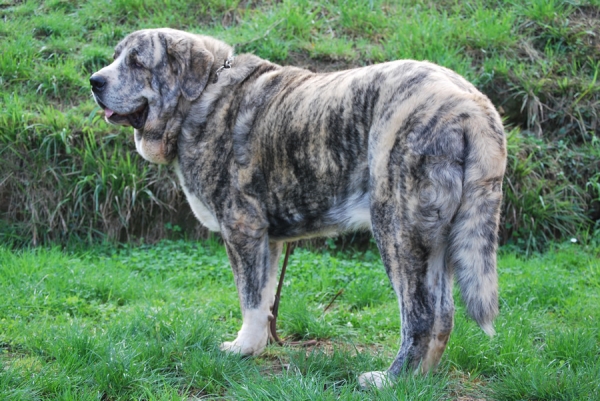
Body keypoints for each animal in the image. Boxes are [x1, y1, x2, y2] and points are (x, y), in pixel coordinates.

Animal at [91, 28, 506, 388]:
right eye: (115, 58)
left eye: (137, 62)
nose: (95, 80)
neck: (205, 93)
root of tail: (472, 105)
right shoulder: (268, 240)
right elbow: (265, 298)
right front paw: (254, 346)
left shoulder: (242, 228)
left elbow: (250, 296)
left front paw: (241, 349)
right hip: (437, 241)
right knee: (444, 316)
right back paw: (421, 379)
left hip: (398, 227)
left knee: (420, 315)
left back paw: (390, 380)